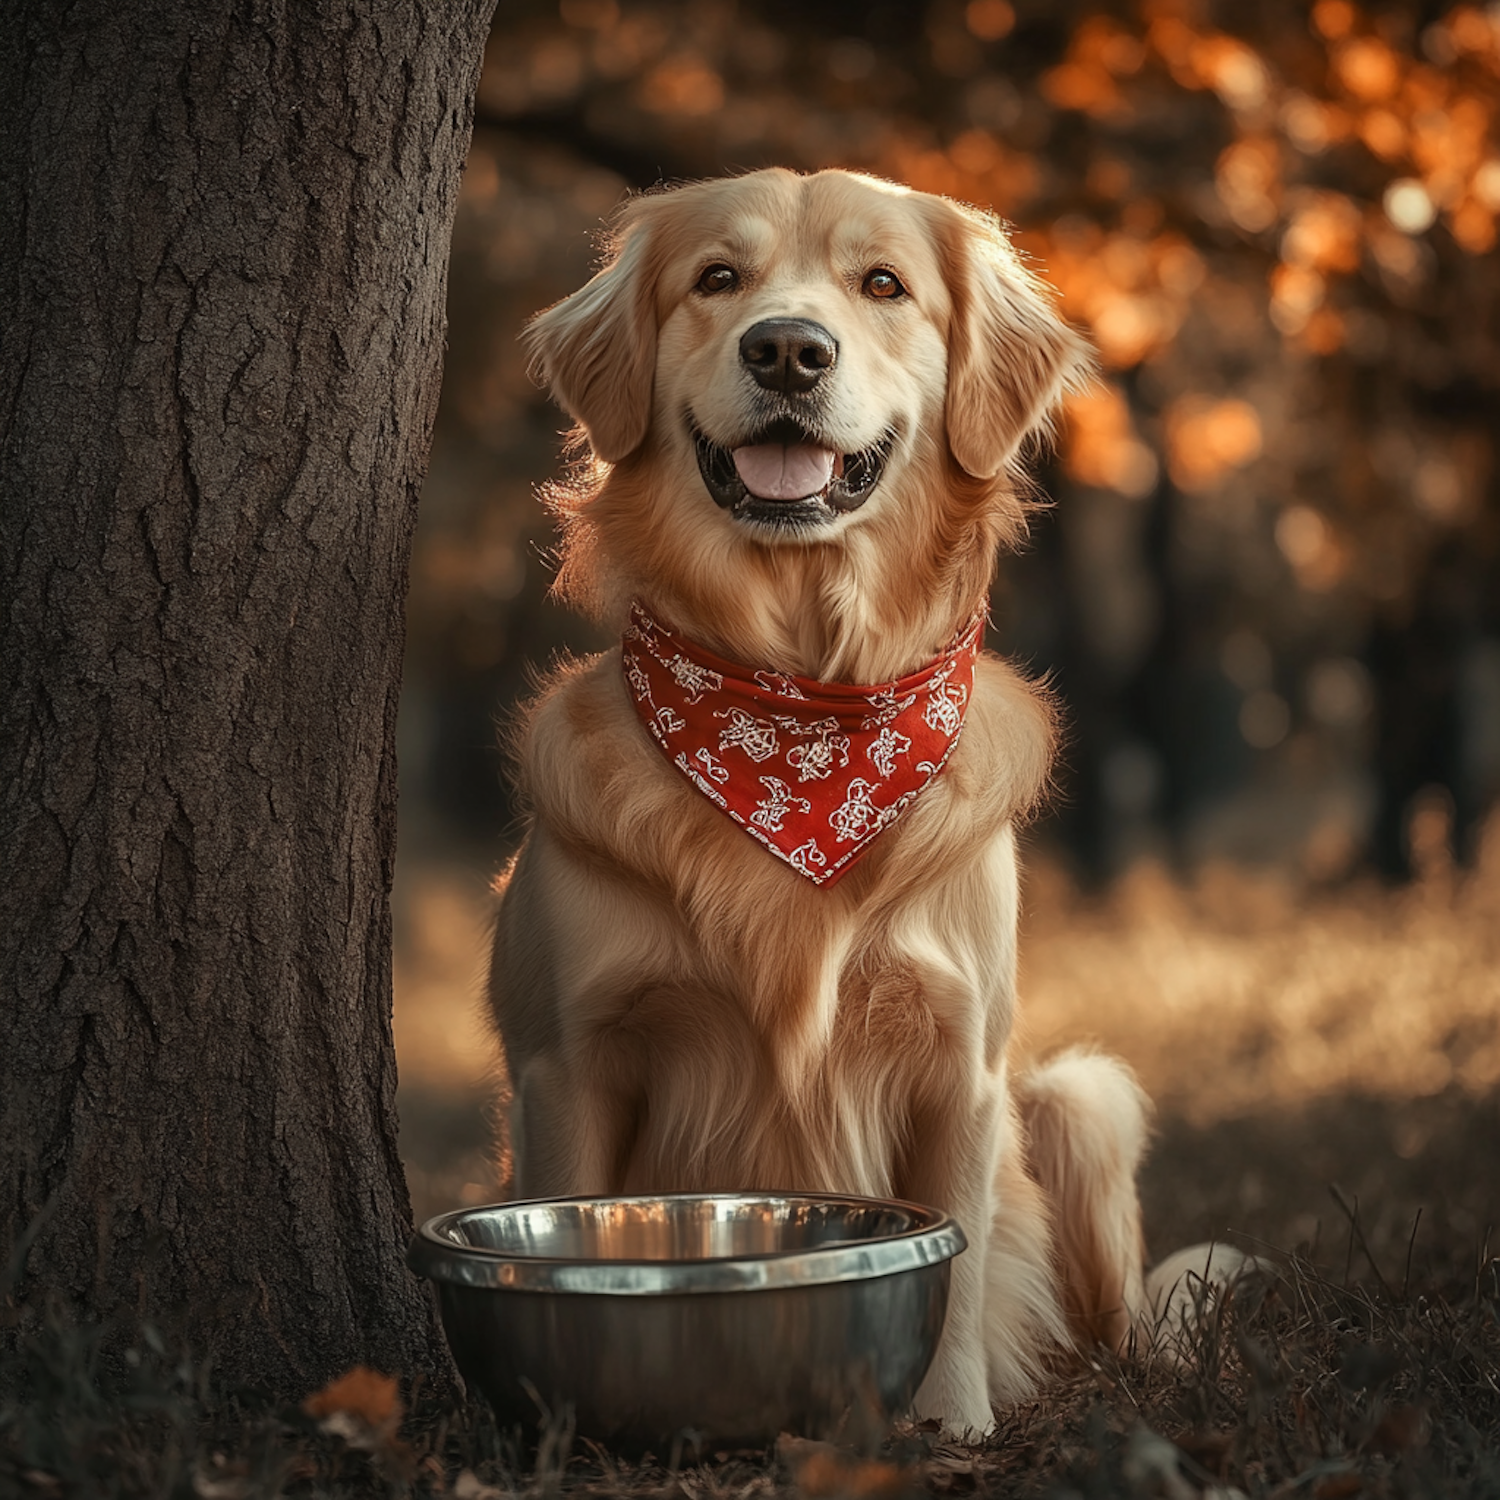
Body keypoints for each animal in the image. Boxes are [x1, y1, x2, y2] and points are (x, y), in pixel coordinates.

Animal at [486, 164, 1152, 1428]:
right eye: (717, 278)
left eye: (882, 284)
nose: (788, 350)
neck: (793, 721)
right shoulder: (569, 1062)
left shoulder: (959, 1062)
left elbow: (959, 1260)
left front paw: (949, 1423)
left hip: (1075, 1098)